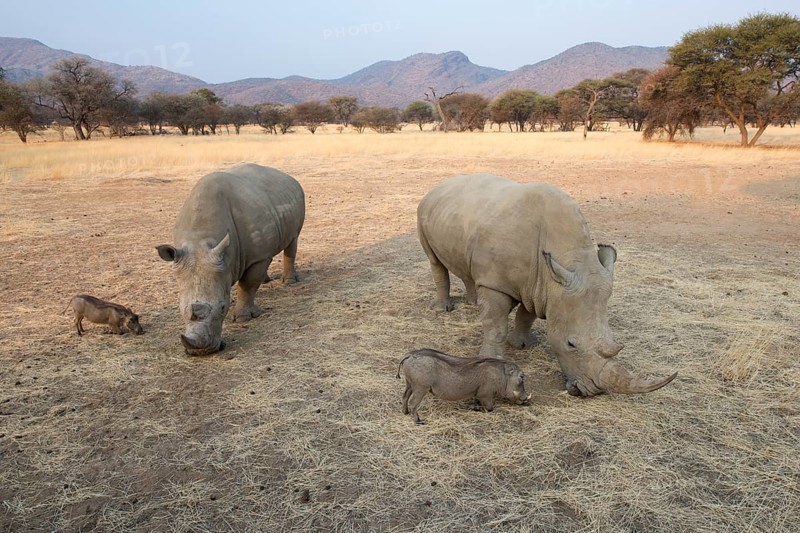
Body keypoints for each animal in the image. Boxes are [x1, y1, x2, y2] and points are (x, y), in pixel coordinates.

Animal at [156, 163, 305, 355]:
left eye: (222, 308)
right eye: (180, 309)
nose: (201, 352)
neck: (201, 238)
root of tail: (287, 176)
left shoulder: (257, 258)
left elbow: (248, 285)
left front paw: (243, 318)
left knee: (292, 241)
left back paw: (289, 282)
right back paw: (266, 280)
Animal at [417, 174, 677, 397]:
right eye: (571, 344)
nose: (591, 392)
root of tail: (440, 185)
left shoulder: (541, 286)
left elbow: (526, 316)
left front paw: (522, 344)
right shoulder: (497, 283)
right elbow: (496, 325)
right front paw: (494, 359)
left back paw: (472, 302)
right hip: (422, 210)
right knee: (434, 259)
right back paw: (442, 309)